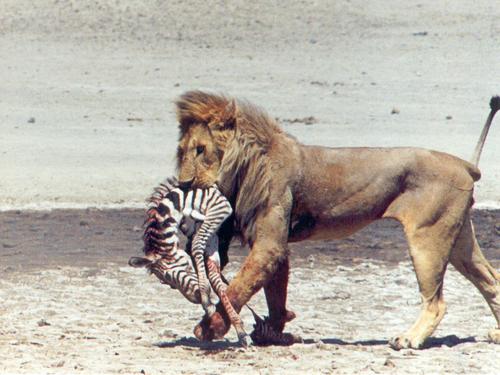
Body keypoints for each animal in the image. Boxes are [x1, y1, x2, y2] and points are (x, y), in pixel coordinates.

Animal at [128, 178, 247, 346]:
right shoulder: (206, 228)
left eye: (168, 278)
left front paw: (206, 299)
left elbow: (196, 245)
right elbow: (214, 274)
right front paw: (239, 328)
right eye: (167, 284)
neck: (180, 202)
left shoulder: (219, 206)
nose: (196, 299)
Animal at [173, 90, 500, 350]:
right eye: (182, 152)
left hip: (427, 239)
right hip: (457, 239)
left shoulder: (269, 245)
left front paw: (210, 327)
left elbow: (238, 287)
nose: (184, 184)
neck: (248, 163)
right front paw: (274, 332)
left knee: (437, 302)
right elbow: (274, 293)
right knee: (491, 280)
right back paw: (496, 333)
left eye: (201, 150)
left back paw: (408, 339)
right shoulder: (275, 245)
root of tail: (465, 165)